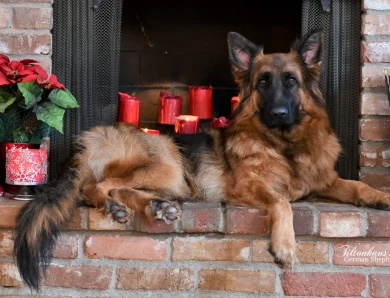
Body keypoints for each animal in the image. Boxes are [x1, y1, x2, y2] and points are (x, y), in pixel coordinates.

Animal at [13, 30, 388, 292]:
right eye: (263, 82)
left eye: (291, 82)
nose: (279, 113)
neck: (284, 145)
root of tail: (88, 139)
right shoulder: (250, 187)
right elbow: (282, 203)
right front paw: (285, 245)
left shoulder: (324, 181)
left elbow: (355, 184)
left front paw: (380, 195)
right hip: (167, 164)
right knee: (96, 187)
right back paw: (121, 205)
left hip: (170, 177)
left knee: (118, 190)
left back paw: (152, 207)